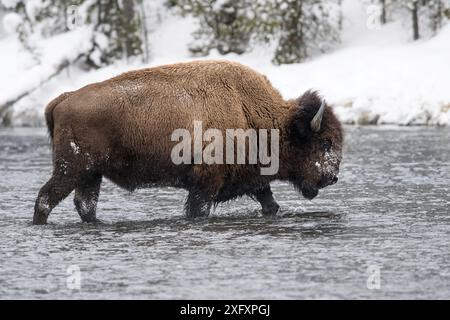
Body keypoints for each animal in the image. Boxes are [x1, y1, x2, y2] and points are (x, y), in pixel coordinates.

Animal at [33, 60, 342, 225]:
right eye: (325, 142)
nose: (333, 177)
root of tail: (64, 99)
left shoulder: (254, 181)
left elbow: (270, 204)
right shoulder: (204, 185)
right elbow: (197, 211)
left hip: (90, 174)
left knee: (85, 204)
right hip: (72, 168)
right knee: (46, 198)